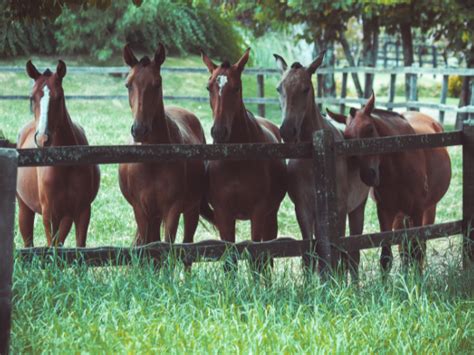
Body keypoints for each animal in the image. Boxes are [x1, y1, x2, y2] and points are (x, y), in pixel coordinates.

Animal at [17, 59, 100, 248]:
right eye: (32, 97)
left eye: (59, 97)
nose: (42, 138)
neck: (65, 163)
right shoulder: (50, 215)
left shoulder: (82, 211)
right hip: (25, 209)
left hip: (66, 217)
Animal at [118, 43, 207, 246]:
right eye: (128, 85)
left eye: (157, 83)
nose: (139, 130)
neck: (152, 161)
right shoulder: (141, 211)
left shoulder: (172, 210)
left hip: (191, 210)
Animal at [202, 48, 286, 264]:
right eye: (208, 87)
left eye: (237, 88)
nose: (219, 132)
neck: (236, 160)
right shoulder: (223, 214)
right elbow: (229, 259)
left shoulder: (258, 212)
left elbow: (257, 255)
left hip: (271, 215)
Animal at [274, 52, 370, 280]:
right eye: (279, 88)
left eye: (306, 88)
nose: (287, 131)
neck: (312, 158)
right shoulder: (303, 209)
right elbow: (309, 252)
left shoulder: (340, 209)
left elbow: (339, 252)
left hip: (357, 209)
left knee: (353, 253)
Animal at [326, 92, 452, 272]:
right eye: (347, 137)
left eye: (370, 129)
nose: (368, 176)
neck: (399, 166)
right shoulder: (385, 211)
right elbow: (387, 257)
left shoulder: (417, 210)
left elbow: (417, 251)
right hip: (401, 215)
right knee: (404, 249)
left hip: (428, 209)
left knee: (419, 248)